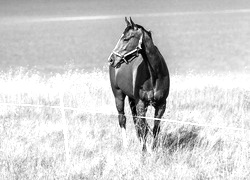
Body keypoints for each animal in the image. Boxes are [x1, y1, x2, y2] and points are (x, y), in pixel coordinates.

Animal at [107, 17, 170, 152]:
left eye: (126, 39)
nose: (111, 59)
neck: (155, 75)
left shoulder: (161, 105)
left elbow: (155, 129)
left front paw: (152, 149)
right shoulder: (141, 104)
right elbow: (143, 128)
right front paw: (144, 151)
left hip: (132, 99)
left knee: (136, 122)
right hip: (118, 95)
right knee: (123, 119)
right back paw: (126, 146)